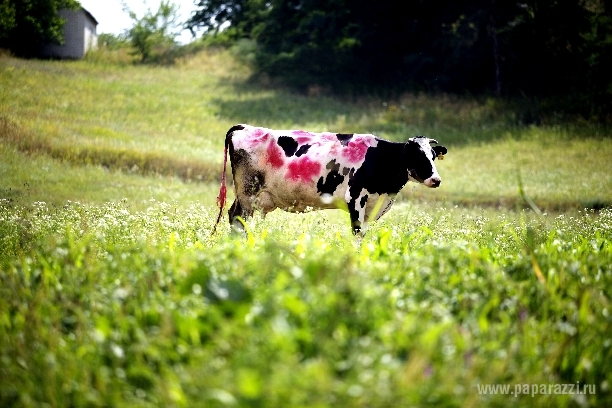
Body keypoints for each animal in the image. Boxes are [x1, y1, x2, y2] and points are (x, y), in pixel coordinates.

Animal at [213, 122, 448, 234]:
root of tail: (245, 127)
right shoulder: (356, 199)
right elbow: (357, 234)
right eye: (417, 156)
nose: (436, 180)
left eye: (433, 155)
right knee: (238, 219)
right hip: (247, 192)